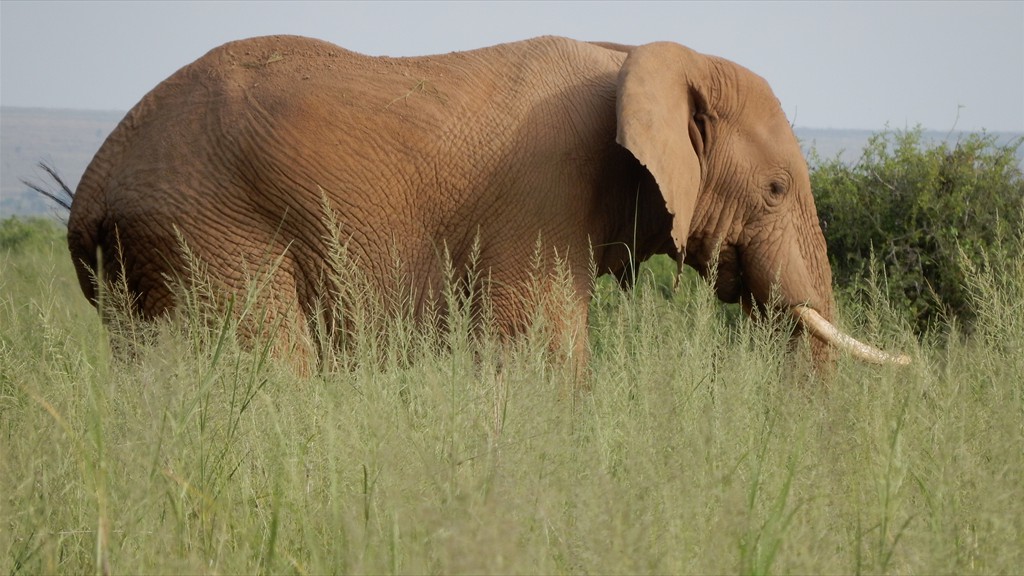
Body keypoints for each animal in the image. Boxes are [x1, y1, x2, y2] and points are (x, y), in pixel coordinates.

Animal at [68, 33, 909, 368]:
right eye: (776, 188)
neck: (636, 55)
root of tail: (92, 187)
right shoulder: (543, 191)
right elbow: (541, 352)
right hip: (209, 229)